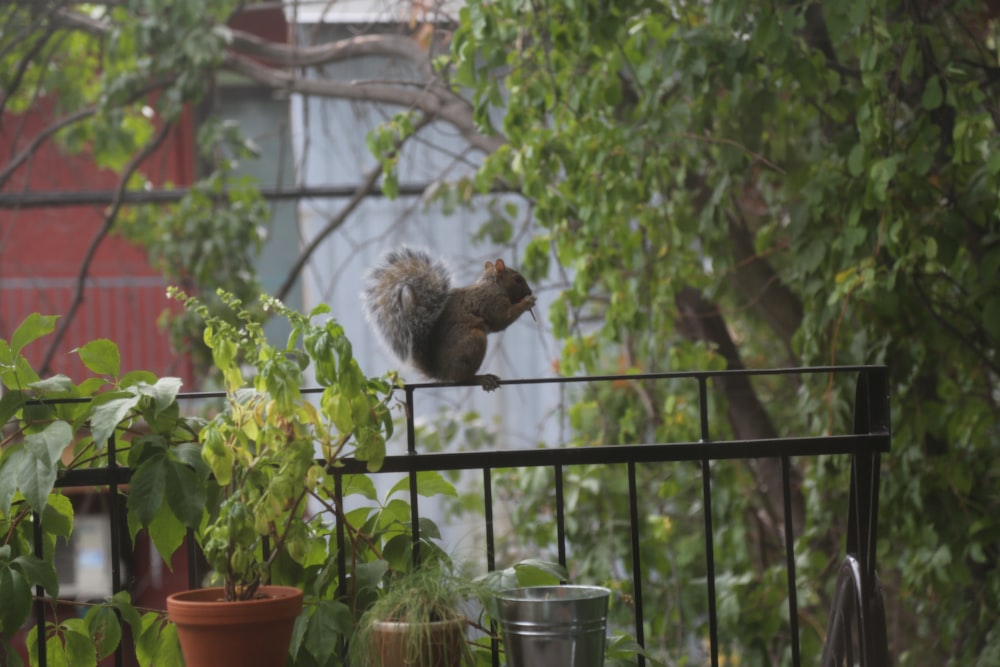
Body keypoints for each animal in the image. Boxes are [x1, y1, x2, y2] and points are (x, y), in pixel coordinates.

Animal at [364, 248, 536, 392]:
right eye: (517, 279)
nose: (529, 291)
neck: (493, 285)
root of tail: (441, 373)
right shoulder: (492, 303)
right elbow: (503, 319)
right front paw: (527, 302)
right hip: (473, 341)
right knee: (463, 378)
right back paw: (481, 378)